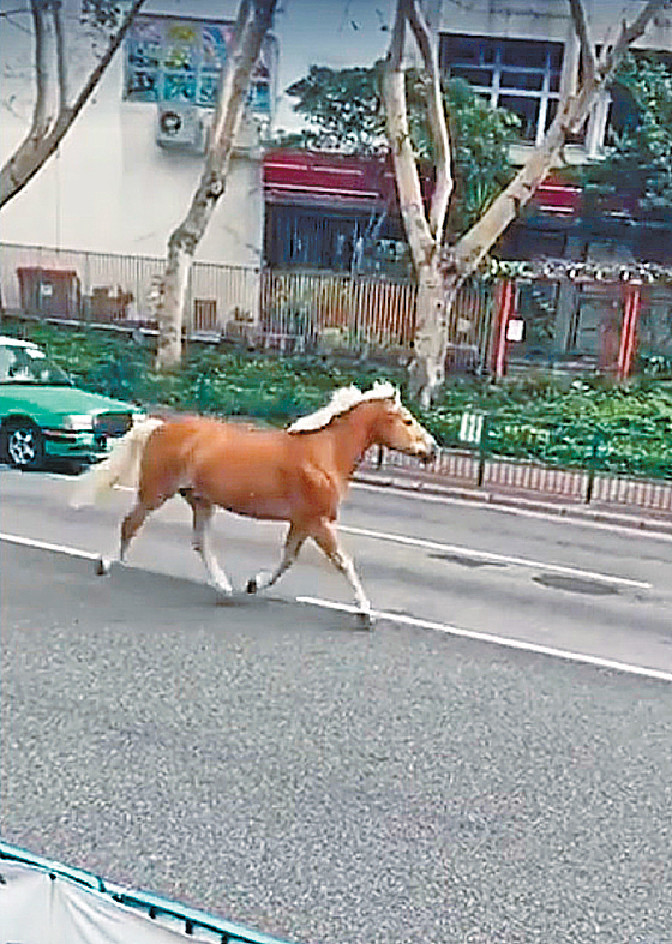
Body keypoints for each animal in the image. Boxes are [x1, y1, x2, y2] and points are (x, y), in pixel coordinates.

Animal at [73, 380, 438, 624]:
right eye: (407, 420)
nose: (433, 450)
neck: (325, 452)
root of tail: (160, 426)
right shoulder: (318, 521)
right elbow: (343, 562)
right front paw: (366, 613)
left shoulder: (302, 521)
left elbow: (288, 558)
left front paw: (252, 584)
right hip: (155, 491)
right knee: (130, 524)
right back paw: (106, 564)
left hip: (200, 500)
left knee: (200, 542)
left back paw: (225, 588)